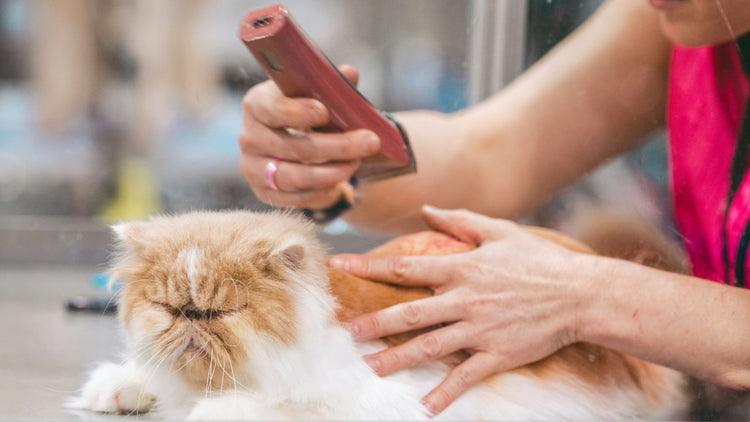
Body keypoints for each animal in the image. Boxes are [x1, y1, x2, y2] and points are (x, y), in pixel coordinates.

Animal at [67, 209, 692, 420]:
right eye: (171, 308)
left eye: (224, 311)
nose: (193, 319)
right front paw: (120, 389)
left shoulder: (385, 397)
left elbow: (267, 408)